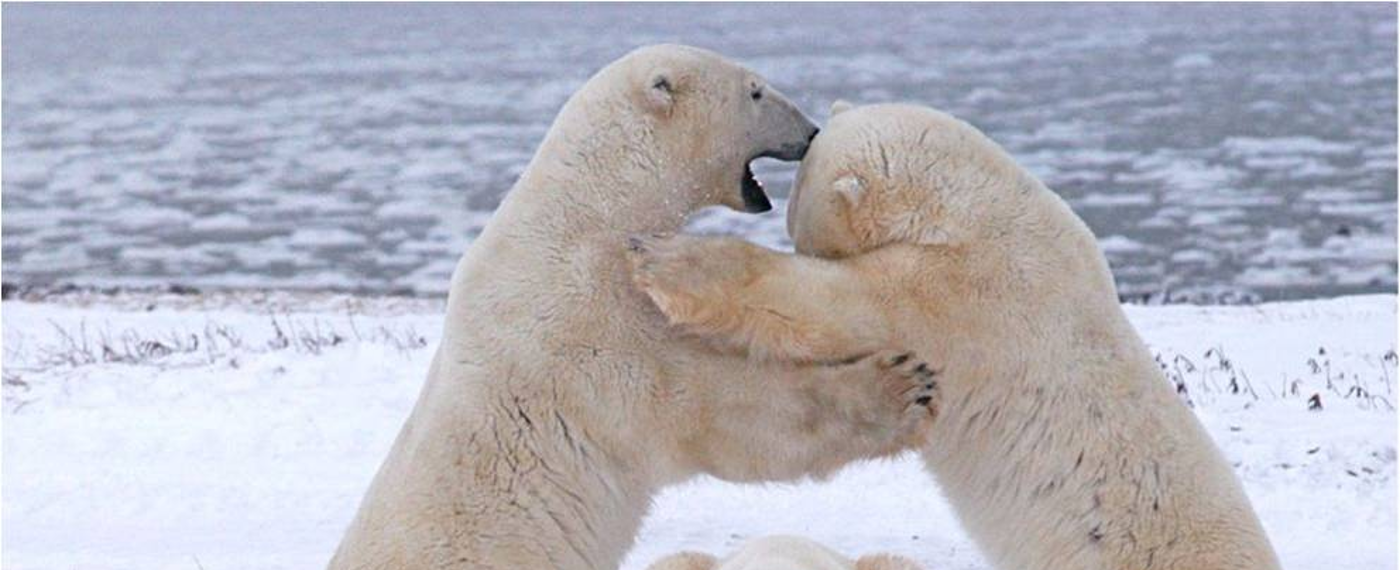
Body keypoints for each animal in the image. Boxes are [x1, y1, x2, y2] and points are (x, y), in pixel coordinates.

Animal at [327, 49, 940, 570]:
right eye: (756, 90)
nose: (810, 132)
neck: (587, 216)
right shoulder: (589, 329)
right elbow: (725, 410)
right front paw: (902, 386)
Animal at [630, 102, 1282, 570]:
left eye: (797, 224)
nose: (799, 238)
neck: (984, 211)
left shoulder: (966, 294)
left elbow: (832, 308)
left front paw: (662, 259)